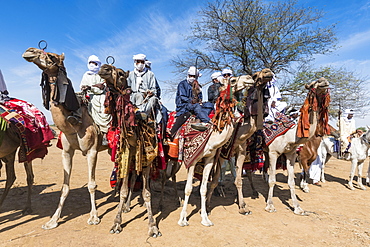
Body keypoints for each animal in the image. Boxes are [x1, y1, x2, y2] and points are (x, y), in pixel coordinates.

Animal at [22, 47, 107, 230]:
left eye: (51, 56)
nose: (29, 51)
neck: (73, 124)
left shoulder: (92, 150)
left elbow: (91, 185)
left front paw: (94, 217)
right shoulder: (67, 151)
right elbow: (65, 187)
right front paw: (52, 220)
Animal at [264, 77, 330, 214]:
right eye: (314, 83)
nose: (324, 80)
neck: (290, 135)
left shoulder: (291, 154)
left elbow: (291, 182)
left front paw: (297, 207)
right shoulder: (273, 153)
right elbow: (272, 181)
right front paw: (270, 205)